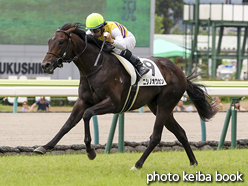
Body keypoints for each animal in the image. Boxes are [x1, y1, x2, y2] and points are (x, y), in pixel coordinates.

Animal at [34, 22, 217, 169]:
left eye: (61, 42)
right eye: (49, 41)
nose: (45, 65)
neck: (96, 66)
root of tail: (180, 72)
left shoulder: (113, 104)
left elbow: (87, 114)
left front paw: (90, 151)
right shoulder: (83, 101)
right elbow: (67, 124)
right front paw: (44, 147)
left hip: (166, 103)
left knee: (156, 136)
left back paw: (137, 164)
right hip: (158, 106)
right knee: (180, 132)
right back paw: (193, 162)